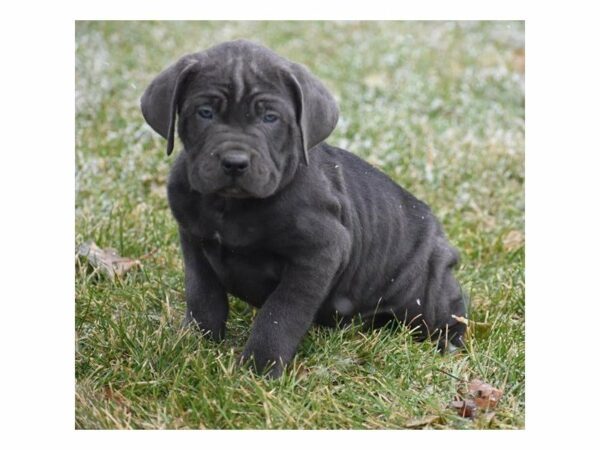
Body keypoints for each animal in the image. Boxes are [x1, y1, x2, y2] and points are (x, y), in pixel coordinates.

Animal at [142, 39, 468, 376]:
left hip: (424, 297)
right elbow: (202, 296)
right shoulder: (194, 241)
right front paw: (195, 344)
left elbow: (280, 314)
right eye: (205, 113)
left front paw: (260, 367)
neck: (230, 206)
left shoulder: (318, 254)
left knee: (449, 312)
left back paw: (450, 344)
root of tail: (441, 238)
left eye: (270, 118)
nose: (234, 162)